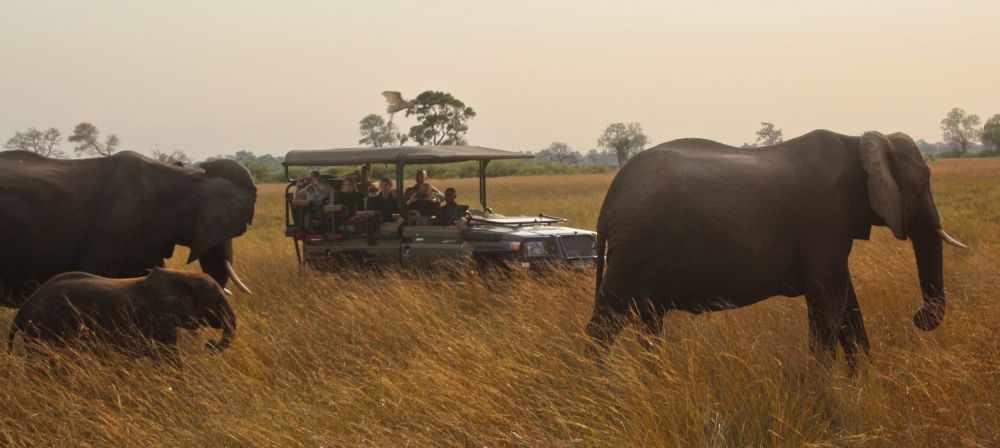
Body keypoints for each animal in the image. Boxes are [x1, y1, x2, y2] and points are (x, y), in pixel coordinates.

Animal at [7, 268, 236, 366]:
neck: (182, 276)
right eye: (216, 302)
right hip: (44, 327)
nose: (209, 344)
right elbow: (169, 358)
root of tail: (23, 311)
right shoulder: (157, 320)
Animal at [586, 130, 965, 370]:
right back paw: (600, 391)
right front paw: (824, 388)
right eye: (923, 183)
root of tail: (607, 205)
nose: (919, 317)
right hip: (636, 248)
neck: (859, 140)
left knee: (649, 322)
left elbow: (847, 303)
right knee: (606, 323)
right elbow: (828, 302)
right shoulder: (824, 220)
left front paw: (867, 381)